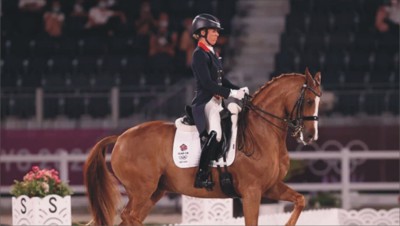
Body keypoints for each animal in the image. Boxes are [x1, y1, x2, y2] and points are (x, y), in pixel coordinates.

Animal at [83, 68, 322, 225]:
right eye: (309, 101)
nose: (310, 136)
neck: (260, 133)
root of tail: (121, 137)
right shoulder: (252, 192)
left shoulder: (271, 186)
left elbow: (300, 200)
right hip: (142, 190)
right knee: (128, 216)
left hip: (154, 192)